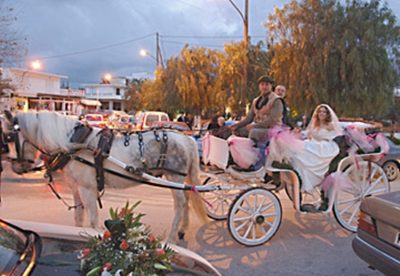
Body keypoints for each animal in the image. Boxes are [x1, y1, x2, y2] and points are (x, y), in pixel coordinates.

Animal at [3, 111, 208, 243]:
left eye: (8, 137)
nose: (16, 167)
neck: (72, 143)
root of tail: (187, 138)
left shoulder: (87, 188)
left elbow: (93, 220)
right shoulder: (76, 187)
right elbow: (78, 217)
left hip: (174, 176)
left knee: (180, 204)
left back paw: (171, 237)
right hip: (178, 179)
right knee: (187, 198)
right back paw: (182, 230)